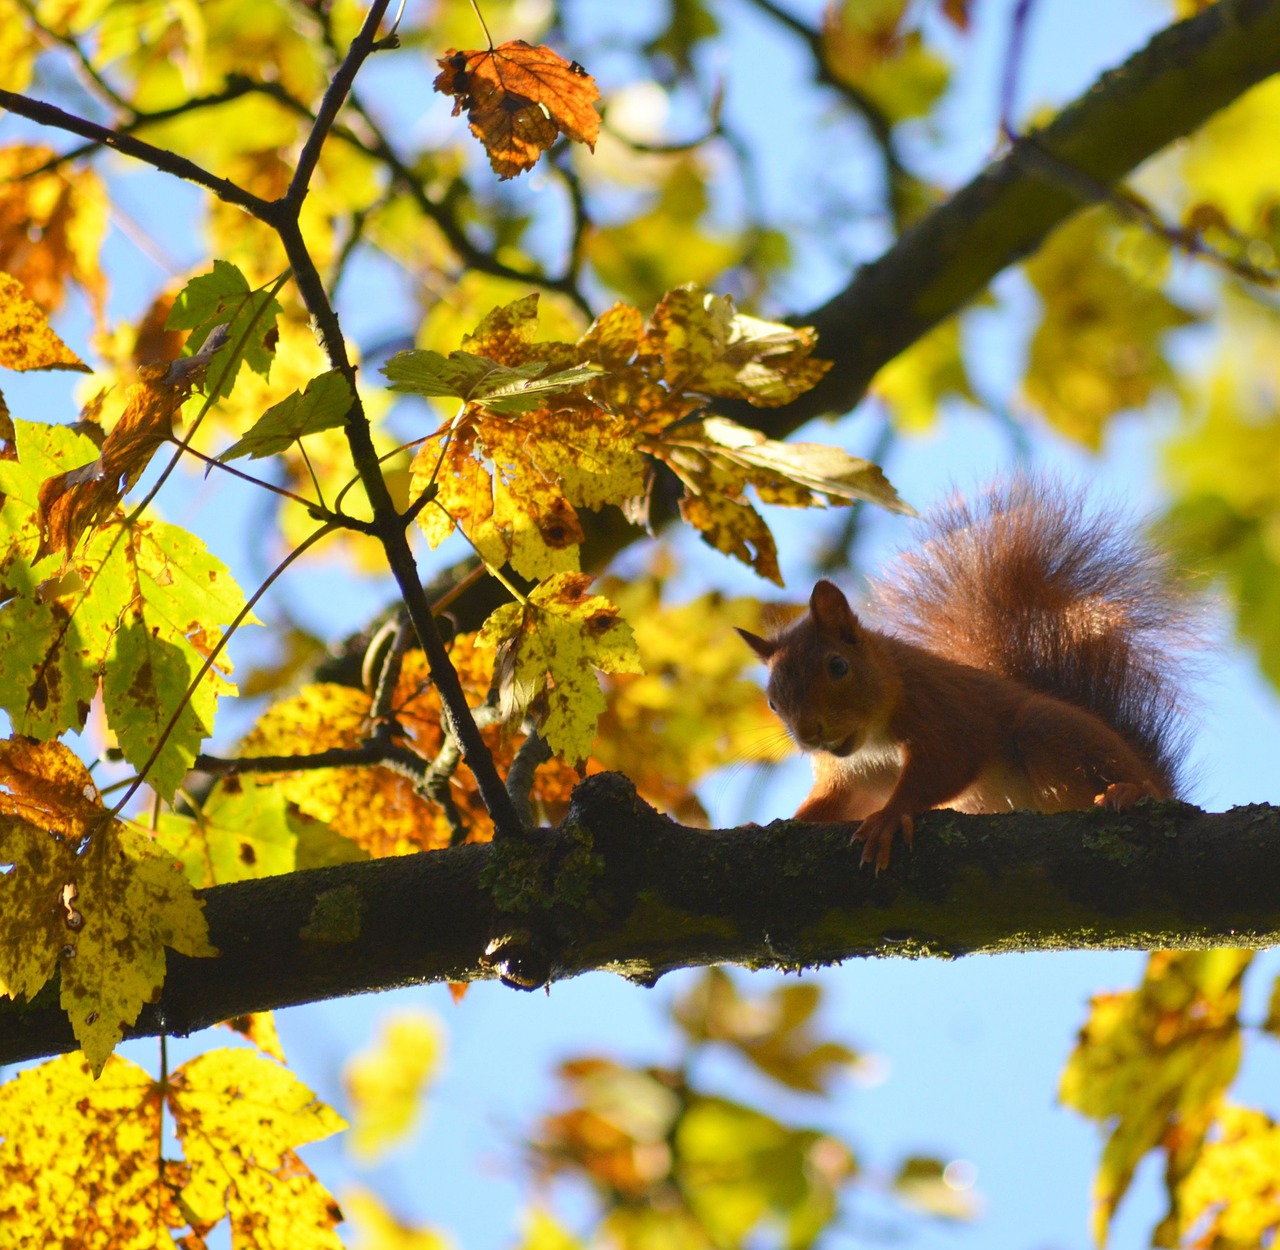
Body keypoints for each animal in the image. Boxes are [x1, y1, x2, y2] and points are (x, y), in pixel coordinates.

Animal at [742, 475, 1198, 870]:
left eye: (838, 665)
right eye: (772, 701)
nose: (809, 733)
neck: (872, 742)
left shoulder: (944, 707)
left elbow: (949, 760)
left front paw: (890, 816)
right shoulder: (849, 780)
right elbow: (827, 807)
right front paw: (761, 826)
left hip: (1051, 728)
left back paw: (1130, 790)